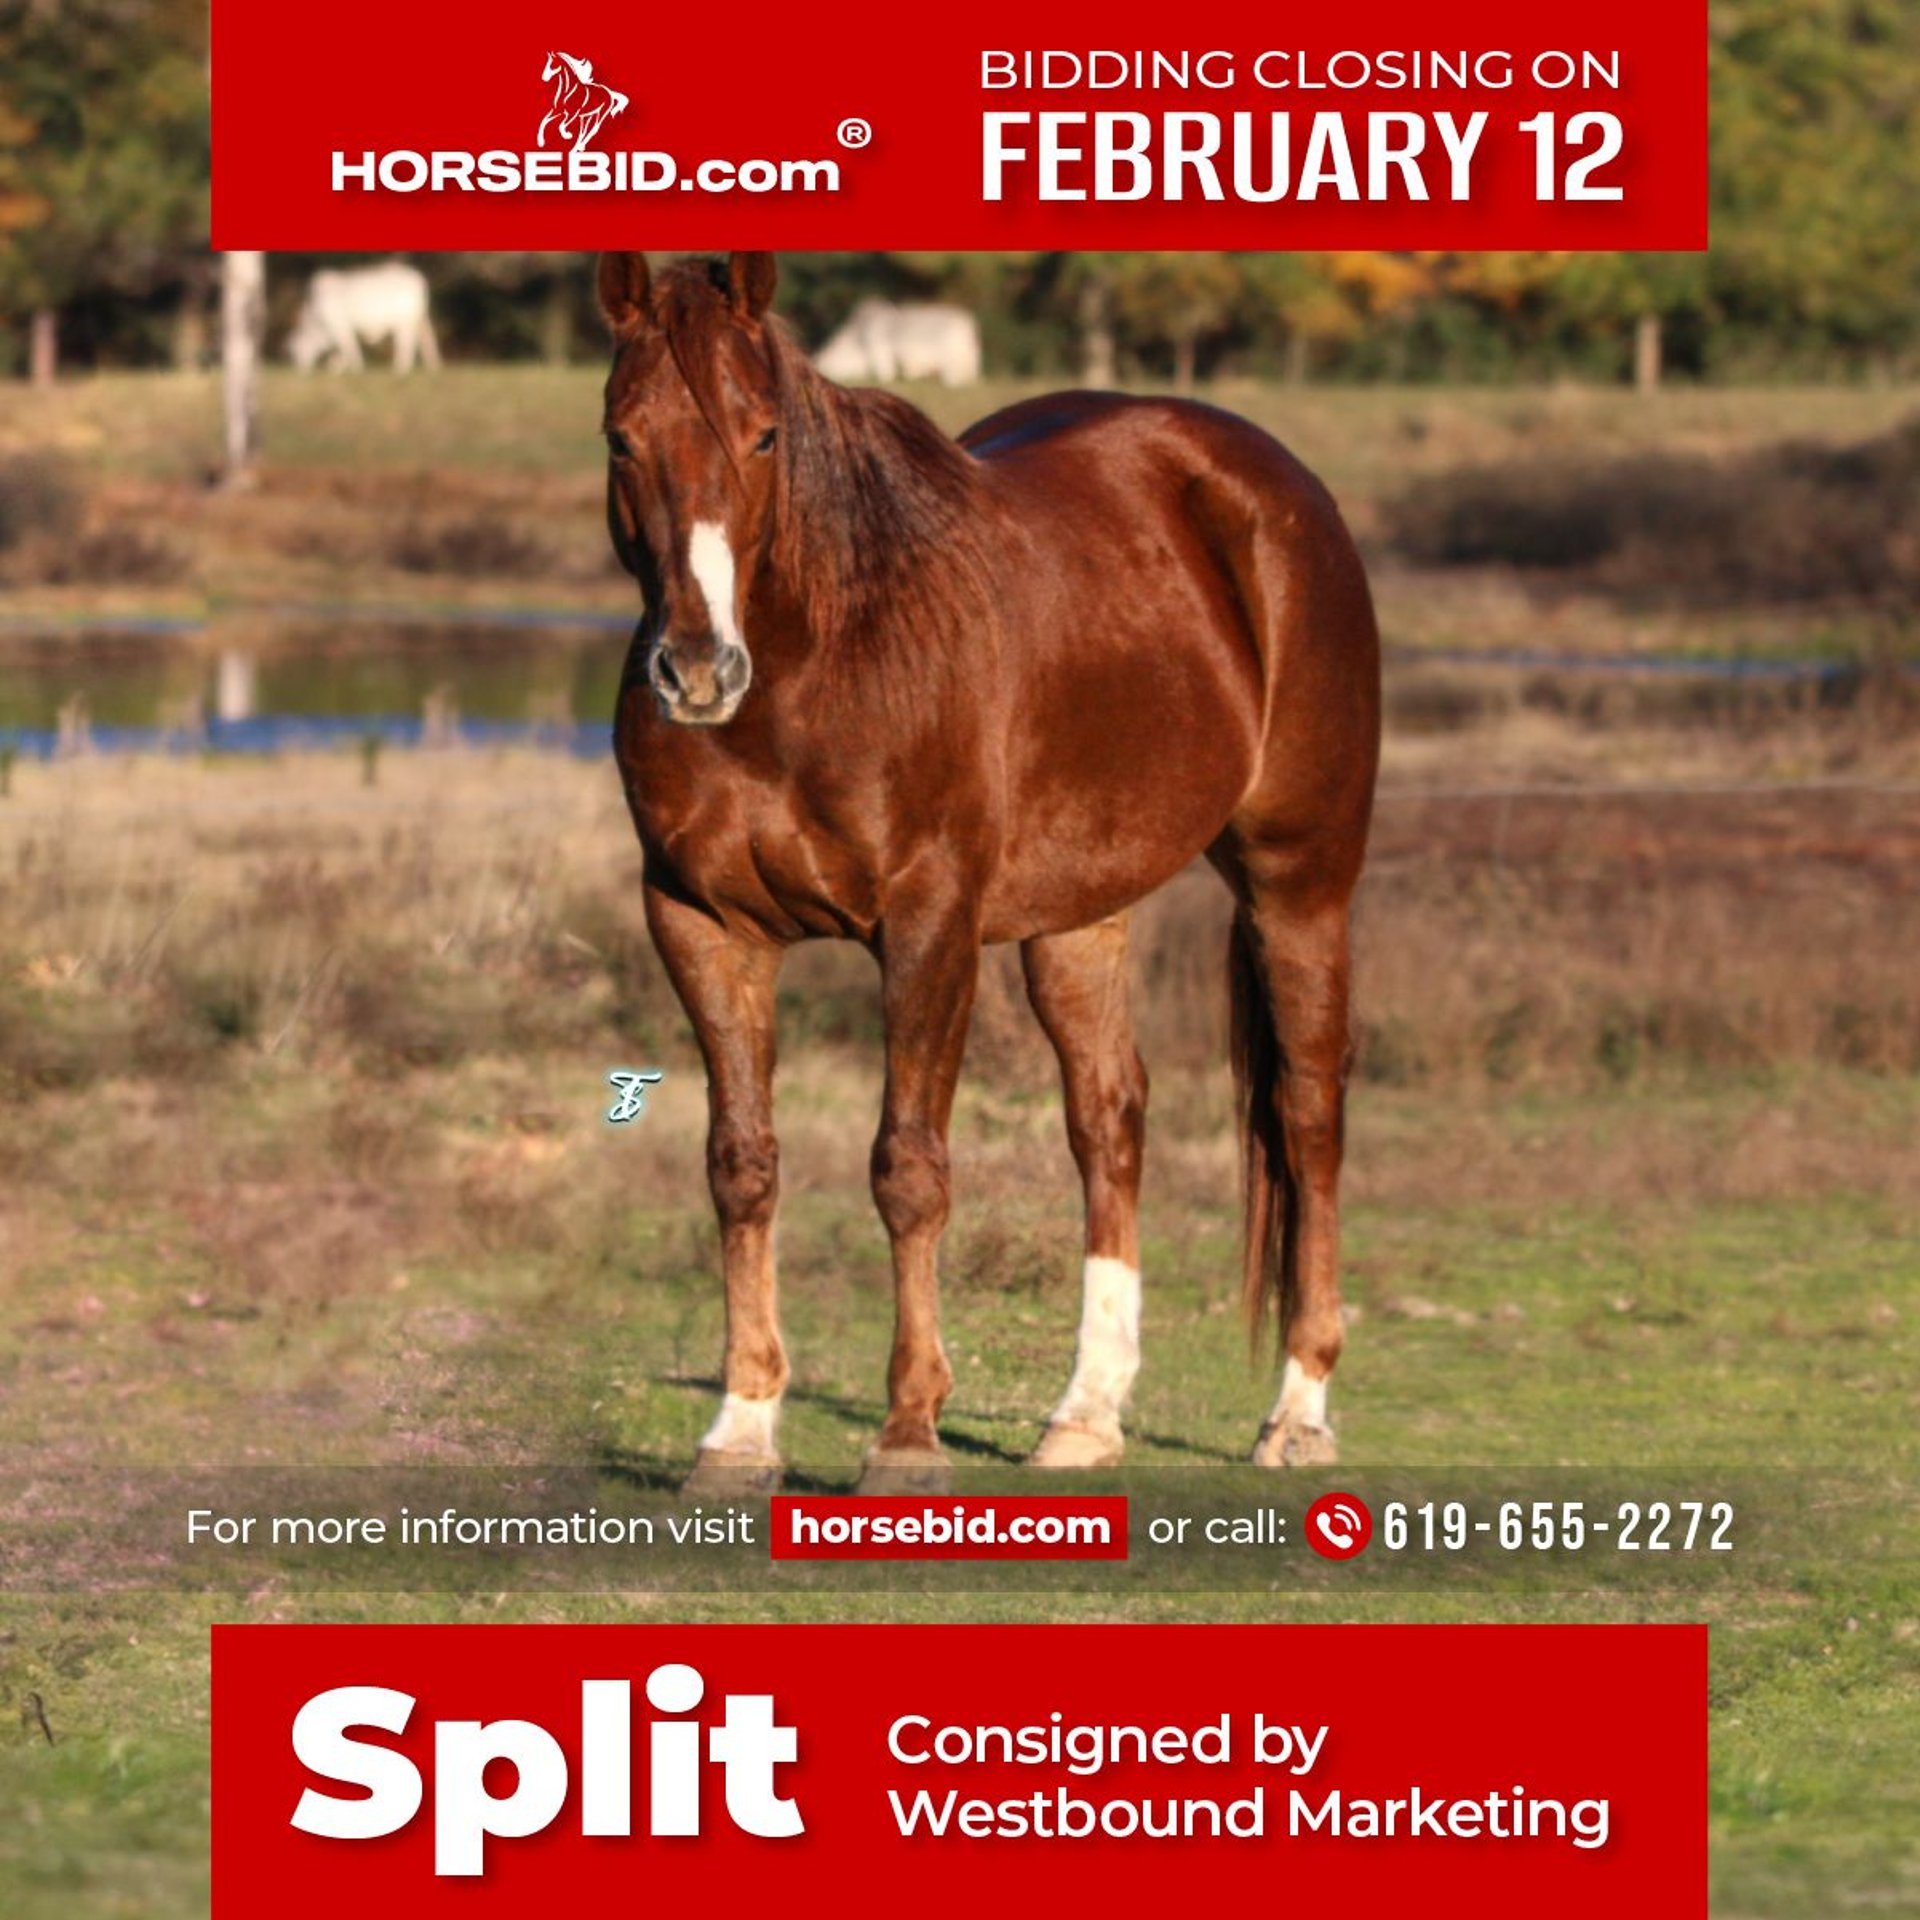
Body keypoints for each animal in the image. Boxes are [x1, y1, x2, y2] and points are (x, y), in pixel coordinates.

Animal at [599, 252, 1380, 1496]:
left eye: (763, 434)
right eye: (623, 438)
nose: (697, 669)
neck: (822, 661)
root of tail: (1267, 485)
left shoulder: (928, 925)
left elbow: (907, 1169)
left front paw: (909, 1433)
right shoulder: (701, 926)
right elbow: (742, 1165)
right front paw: (740, 1429)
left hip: (1299, 881)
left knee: (1308, 1115)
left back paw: (1297, 1412)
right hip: (1080, 916)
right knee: (1108, 1120)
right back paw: (1085, 1415)